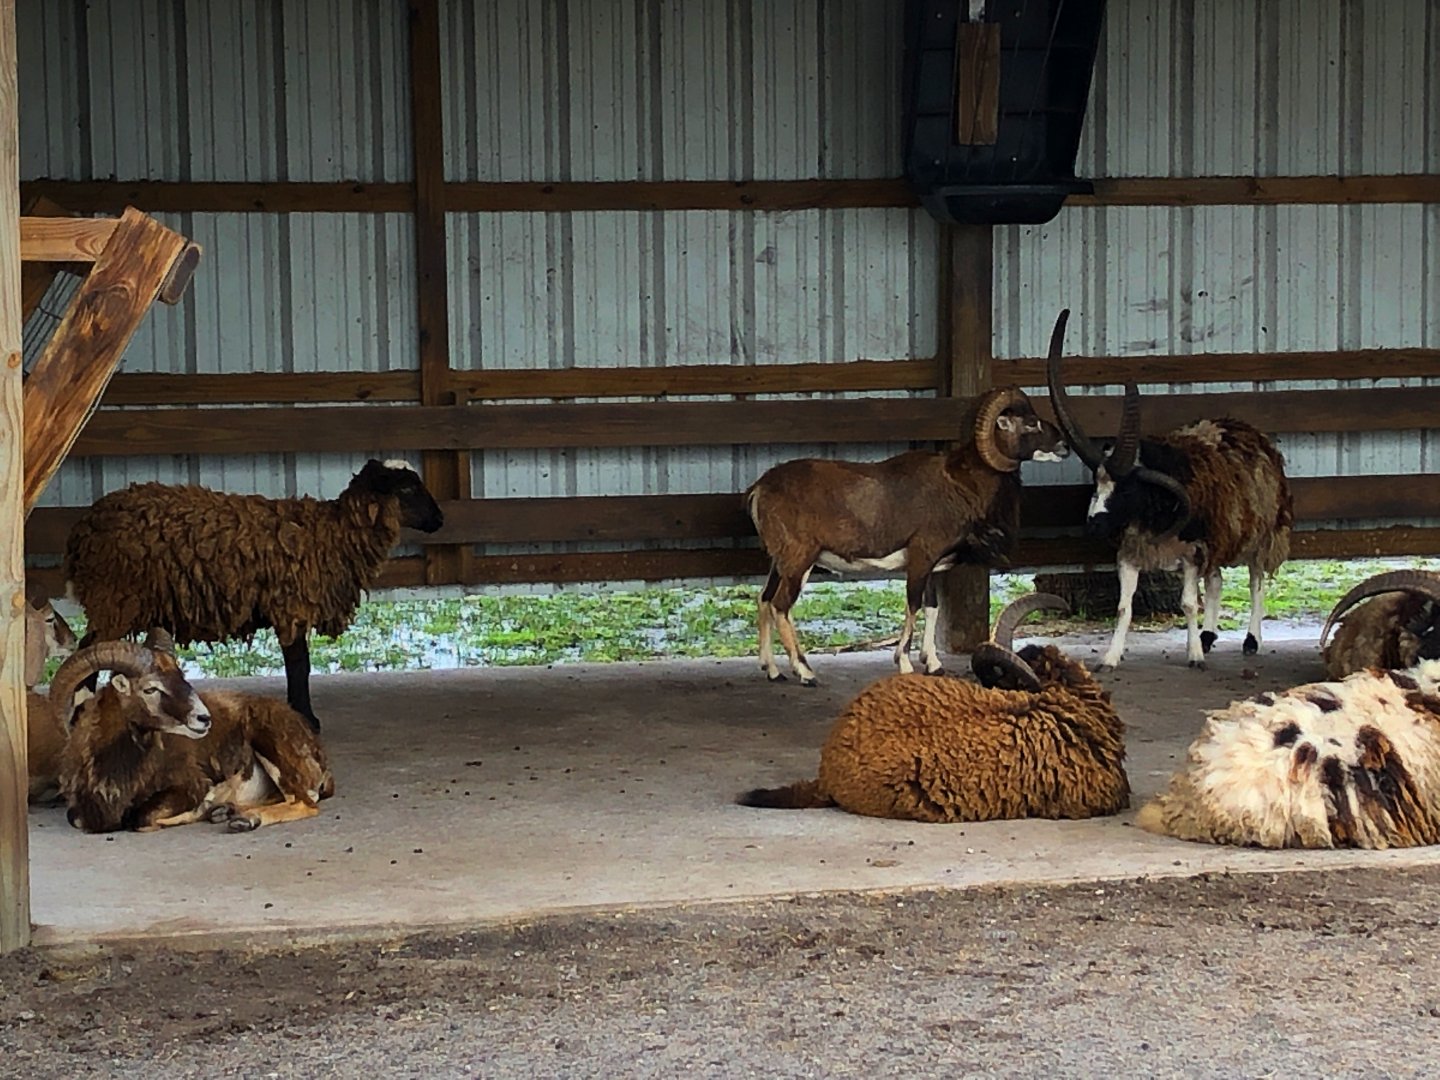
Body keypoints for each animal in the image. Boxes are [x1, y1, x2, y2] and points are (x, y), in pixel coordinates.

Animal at [52, 630, 334, 834]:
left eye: (181, 677)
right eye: (150, 689)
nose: (203, 718)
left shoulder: (189, 787)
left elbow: (142, 819)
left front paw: (204, 808)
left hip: (269, 744)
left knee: (304, 801)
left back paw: (244, 820)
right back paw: (226, 812)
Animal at [62, 457, 445, 731]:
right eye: (407, 489)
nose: (440, 520)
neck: (331, 535)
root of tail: (82, 529)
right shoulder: (291, 605)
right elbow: (300, 666)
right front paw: (307, 718)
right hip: (114, 597)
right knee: (88, 653)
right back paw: (80, 710)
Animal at [743, 310, 1074, 687]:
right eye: (1030, 423)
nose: (1063, 445)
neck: (959, 485)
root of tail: (760, 488)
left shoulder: (933, 566)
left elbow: (931, 607)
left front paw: (934, 665)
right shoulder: (920, 557)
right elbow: (913, 605)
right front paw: (903, 664)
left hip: (780, 562)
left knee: (764, 601)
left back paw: (773, 671)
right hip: (800, 560)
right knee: (781, 605)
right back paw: (805, 672)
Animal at [1047, 353, 1293, 670]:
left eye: (1127, 489)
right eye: (1095, 484)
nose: (1094, 525)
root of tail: (1248, 430)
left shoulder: (1191, 553)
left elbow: (1188, 604)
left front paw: (1195, 658)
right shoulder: (1131, 554)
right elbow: (1123, 608)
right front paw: (1110, 658)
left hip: (1260, 536)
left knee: (1256, 580)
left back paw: (1251, 641)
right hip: (1216, 539)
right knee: (1216, 580)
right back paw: (1207, 636)